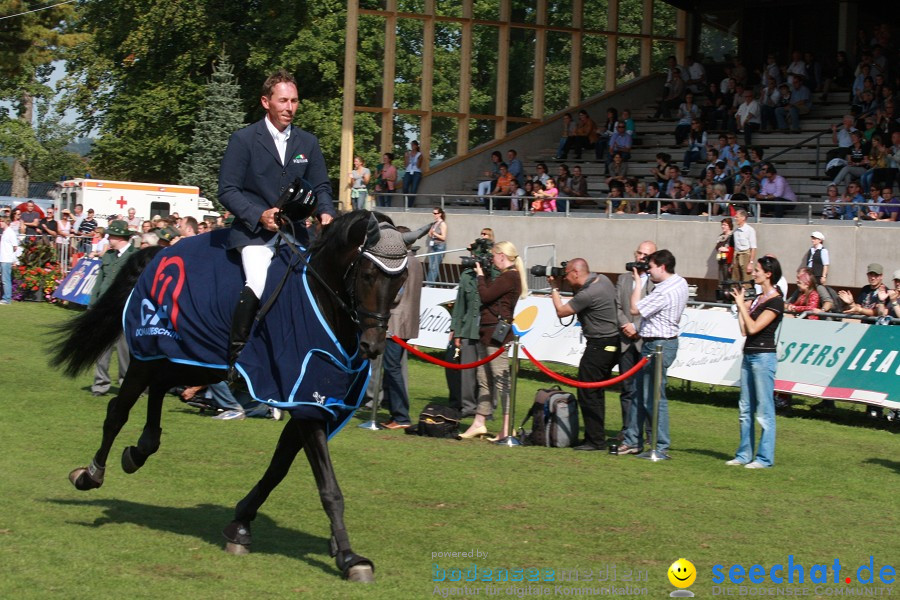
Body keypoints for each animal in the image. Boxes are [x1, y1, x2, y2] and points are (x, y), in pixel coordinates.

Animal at [51, 211, 410, 580]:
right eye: (367, 274)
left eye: (402, 279)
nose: (373, 345)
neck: (322, 305)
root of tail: (160, 252)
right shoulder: (307, 404)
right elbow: (328, 487)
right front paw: (351, 558)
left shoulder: (310, 405)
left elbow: (278, 468)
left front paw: (241, 525)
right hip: (148, 352)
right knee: (118, 410)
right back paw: (91, 474)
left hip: (196, 359)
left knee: (161, 386)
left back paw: (141, 449)